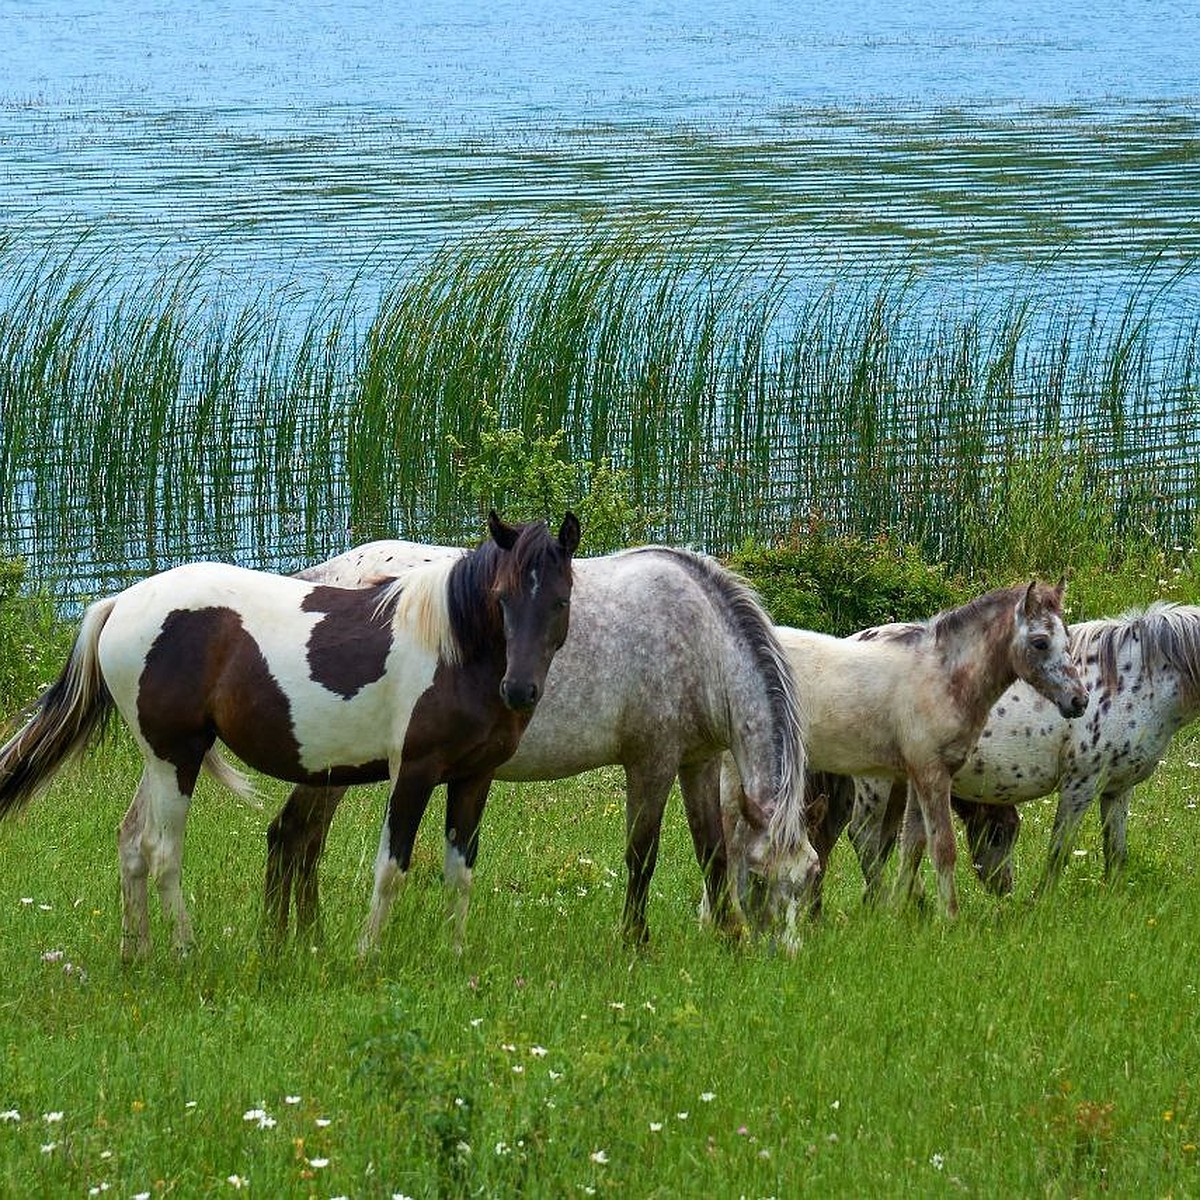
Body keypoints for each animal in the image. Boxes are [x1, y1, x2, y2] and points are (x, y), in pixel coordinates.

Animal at [0, 511, 580, 960]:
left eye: (559, 601)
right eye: (502, 597)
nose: (520, 690)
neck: (452, 649)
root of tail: (119, 603)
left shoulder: (474, 778)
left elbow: (460, 871)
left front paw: (454, 956)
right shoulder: (412, 772)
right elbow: (391, 868)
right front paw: (367, 956)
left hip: (164, 758)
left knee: (131, 843)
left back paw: (136, 954)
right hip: (175, 759)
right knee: (162, 851)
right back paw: (185, 953)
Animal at [260, 540, 825, 940]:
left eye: (809, 877)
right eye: (761, 878)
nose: (782, 956)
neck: (701, 639)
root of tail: (317, 580)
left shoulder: (699, 762)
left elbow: (713, 851)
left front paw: (728, 937)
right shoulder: (652, 762)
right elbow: (642, 856)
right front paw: (635, 941)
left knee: (300, 840)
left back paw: (303, 940)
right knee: (295, 836)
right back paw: (297, 941)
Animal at [715, 580, 1094, 916]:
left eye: (1068, 637)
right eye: (1041, 642)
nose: (1079, 700)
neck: (941, 678)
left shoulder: (914, 775)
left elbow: (912, 844)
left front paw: (899, 912)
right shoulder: (931, 773)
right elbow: (943, 847)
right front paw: (948, 917)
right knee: (732, 836)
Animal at [840, 600, 1200, 902]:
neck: (1129, 680)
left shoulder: (1117, 789)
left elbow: (1116, 852)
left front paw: (1112, 901)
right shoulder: (1081, 783)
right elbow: (1059, 850)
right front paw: (1041, 904)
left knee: (890, 841)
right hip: (875, 782)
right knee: (864, 836)